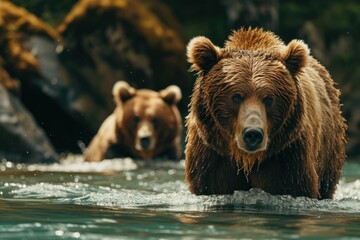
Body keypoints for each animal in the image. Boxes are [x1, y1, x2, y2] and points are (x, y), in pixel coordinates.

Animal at [184, 27, 348, 199]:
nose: (253, 133)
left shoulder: (288, 158)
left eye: (269, 99)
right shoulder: (212, 157)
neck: (247, 159)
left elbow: (293, 186)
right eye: (236, 97)